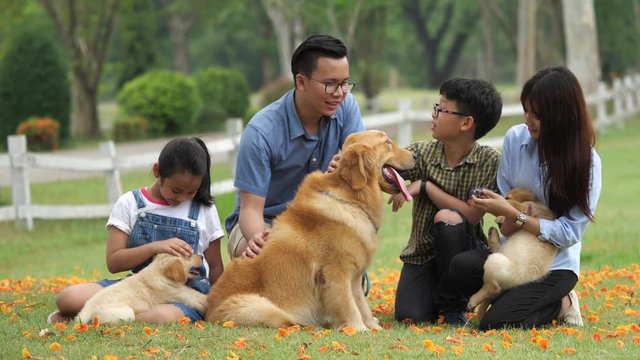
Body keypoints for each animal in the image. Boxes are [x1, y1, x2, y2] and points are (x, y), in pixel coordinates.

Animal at [76, 252, 208, 324]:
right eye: (189, 255)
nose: (202, 256)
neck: (159, 273)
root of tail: (87, 309)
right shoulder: (183, 295)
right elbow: (201, 298)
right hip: (126, 312)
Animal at [205, 130, 416, 332]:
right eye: (387, 142)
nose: (415, 155)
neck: (351, 198)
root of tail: (207, 312)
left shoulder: (355, 276)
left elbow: (361, 304)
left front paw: (373, 327)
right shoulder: (335, 273)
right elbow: (349, 305)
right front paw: (358, 328)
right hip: (261, 307)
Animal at [468, 187, 556, 320]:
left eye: (507, 196)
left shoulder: (530, 210)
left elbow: (512, 205)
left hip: (494, 261)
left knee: (492, 288)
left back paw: (472, 301)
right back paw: (492, 233)